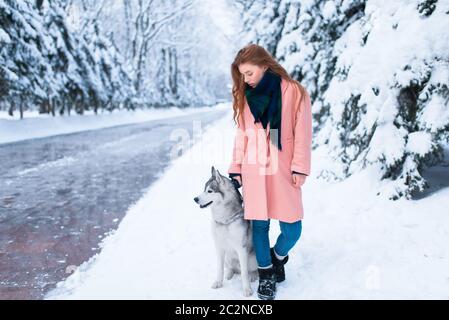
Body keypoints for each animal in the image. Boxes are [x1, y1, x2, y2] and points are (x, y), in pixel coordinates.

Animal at [193, 166, 260, 296]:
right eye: (204, 189)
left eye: (210, 191)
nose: (195, 199)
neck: (225, 221)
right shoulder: (219, 247)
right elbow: (219, 269)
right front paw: (218, 282)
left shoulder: (241, 249)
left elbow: (244, 273)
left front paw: (247, 289)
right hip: (227, 258)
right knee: (231, 268)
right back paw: (229, 273)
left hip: (253, 257)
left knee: (250, 270)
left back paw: (253, 275)